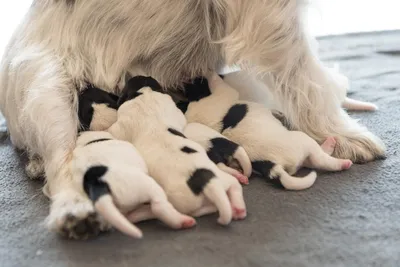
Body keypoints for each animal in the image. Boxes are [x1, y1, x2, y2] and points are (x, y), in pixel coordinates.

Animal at [109, 76, 247, 225]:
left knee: (162, 210)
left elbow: (113, 131)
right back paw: (239, 207)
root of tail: (207, 183)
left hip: (177, 201)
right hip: (217, 186)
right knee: (232, 187)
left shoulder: (123, 122)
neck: (146, 93)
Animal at [180, 74, 352, 192]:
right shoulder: (222, 93)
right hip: (304, 141)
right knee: (322, 159)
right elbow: (218, 83)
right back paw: (338, 157)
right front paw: (211, 73)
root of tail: (271, 164)